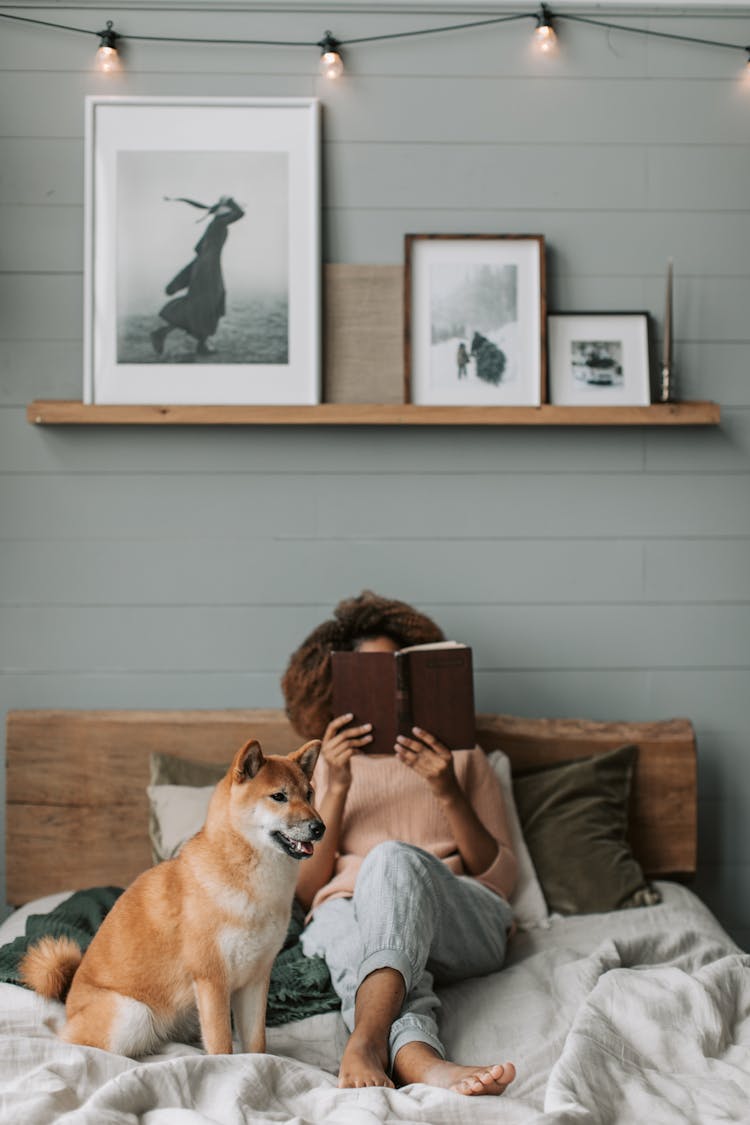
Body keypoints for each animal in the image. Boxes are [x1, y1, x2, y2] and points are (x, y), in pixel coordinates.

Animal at [20, 742, 323, 1057]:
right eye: (279, 796)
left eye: (309, 794)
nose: (319, 827)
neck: (254, 885)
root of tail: (69, 1001)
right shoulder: (212, 979)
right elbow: (221, 1047)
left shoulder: (255, 980)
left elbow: (256, 1046)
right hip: (133, 1014)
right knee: (76, 1043)